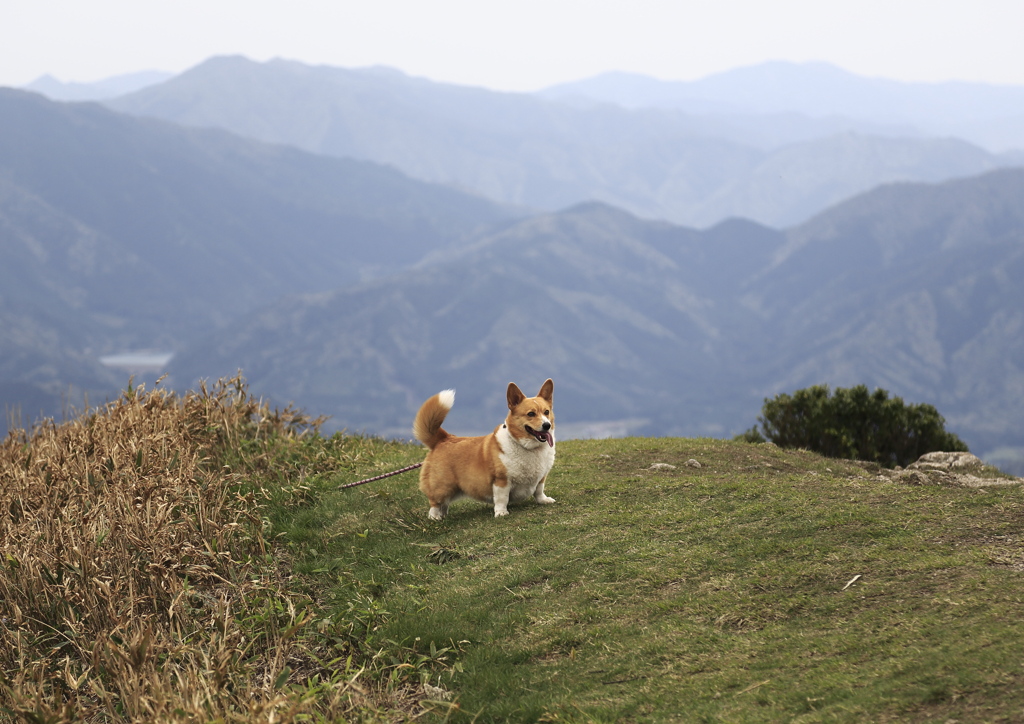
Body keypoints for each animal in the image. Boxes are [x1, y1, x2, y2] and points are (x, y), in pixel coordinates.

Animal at [411, 378, 557, 520]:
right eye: (531, 414)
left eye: (546, 412)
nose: (547, 425)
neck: (529, 447)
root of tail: (443, 438)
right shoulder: (501, 480)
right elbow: (502, 499)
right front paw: (501, 513)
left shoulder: (541, 477)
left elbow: (539, 490)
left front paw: (544, 500)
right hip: (442, 487)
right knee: (435, 503)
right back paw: (435, 517)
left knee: (444, 504)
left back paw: (443, 515)